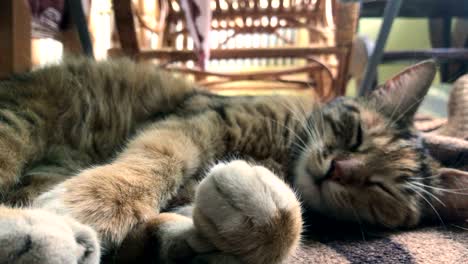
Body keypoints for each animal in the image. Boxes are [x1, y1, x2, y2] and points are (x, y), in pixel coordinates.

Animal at [0, 56, 464, 262]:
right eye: (357, 135)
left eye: (380, 188)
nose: (339, 169)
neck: (283, 154)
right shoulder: (199, 120)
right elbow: (158, 158)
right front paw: (98, 202)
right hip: (19, 122)